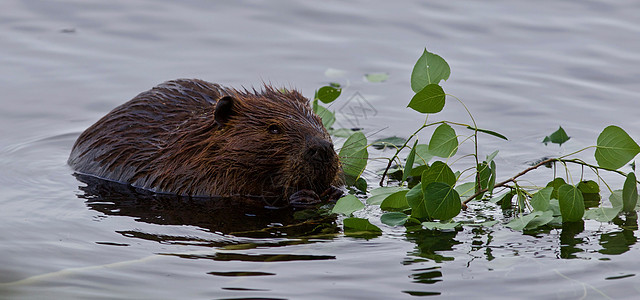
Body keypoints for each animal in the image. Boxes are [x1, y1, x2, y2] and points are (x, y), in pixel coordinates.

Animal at [67, 78, 342, 207]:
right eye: (274, 128)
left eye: (319, 120)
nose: (322, 148)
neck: (192, 144)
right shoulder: (187, 175)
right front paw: (302, 196)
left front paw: (334, 190)